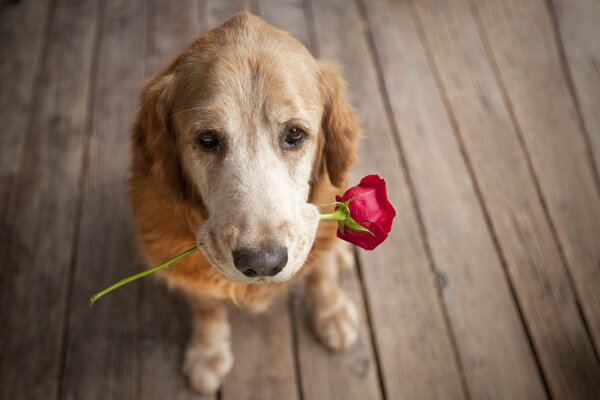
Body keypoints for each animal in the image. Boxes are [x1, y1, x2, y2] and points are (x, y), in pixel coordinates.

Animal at [129, 11, 358, 394]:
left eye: (294, 134)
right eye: (207, 139)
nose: (263, 263)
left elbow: (322, 275)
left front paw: (332, 312)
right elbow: (206, 307)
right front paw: (208, 352)